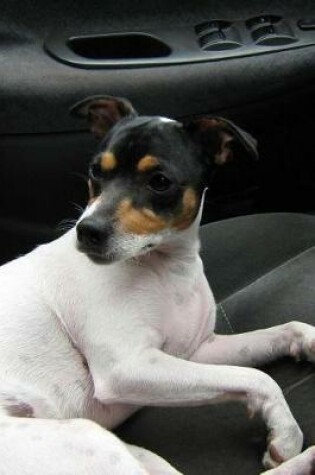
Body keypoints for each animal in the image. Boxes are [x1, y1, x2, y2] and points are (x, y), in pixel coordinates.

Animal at [0, 94, 315, 475]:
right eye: (96, 172)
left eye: (160, 181)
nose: (87, 231)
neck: (165, 268)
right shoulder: (128, 368)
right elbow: (257, 378)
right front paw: (286, 432)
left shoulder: (196, 352)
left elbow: (282, 333)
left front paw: (310, 341)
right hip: (90, 439)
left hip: (133, 451)